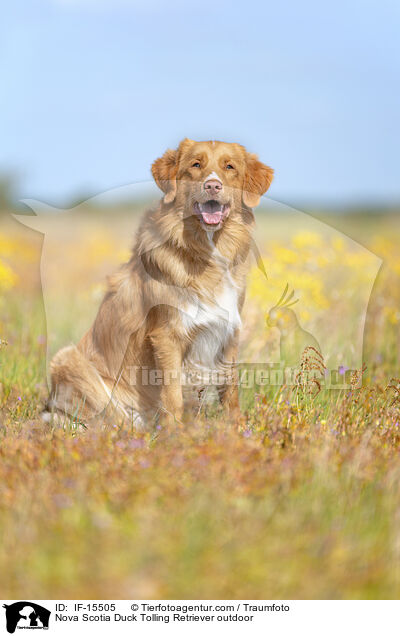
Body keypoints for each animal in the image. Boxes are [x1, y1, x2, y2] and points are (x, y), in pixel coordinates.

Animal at [45, 139, 274, 428]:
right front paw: (176, 434)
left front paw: (238, 430)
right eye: (195, 165)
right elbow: (172, 394)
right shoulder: (167, 334)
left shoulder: (228, 331)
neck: (206, 249)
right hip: (68, 360)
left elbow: (230, 390)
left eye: (230, 167)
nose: (212, 185)